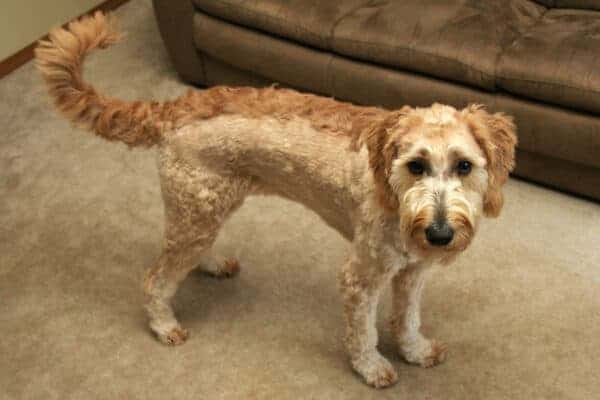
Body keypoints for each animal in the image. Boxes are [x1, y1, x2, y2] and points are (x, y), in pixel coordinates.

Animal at [35, 11, 516, 388]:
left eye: (464, 166)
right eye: (416, 165)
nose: (440, 234)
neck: (394, 199)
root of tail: (175, 107)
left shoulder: (412, 272)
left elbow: (408, 318)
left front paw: (414, 350)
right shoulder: (361, 276)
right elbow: (363, 333)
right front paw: (372, 368)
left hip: (205, 208)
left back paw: (212, 265)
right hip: (197, 213)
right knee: (156, 279)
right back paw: (164, 325)